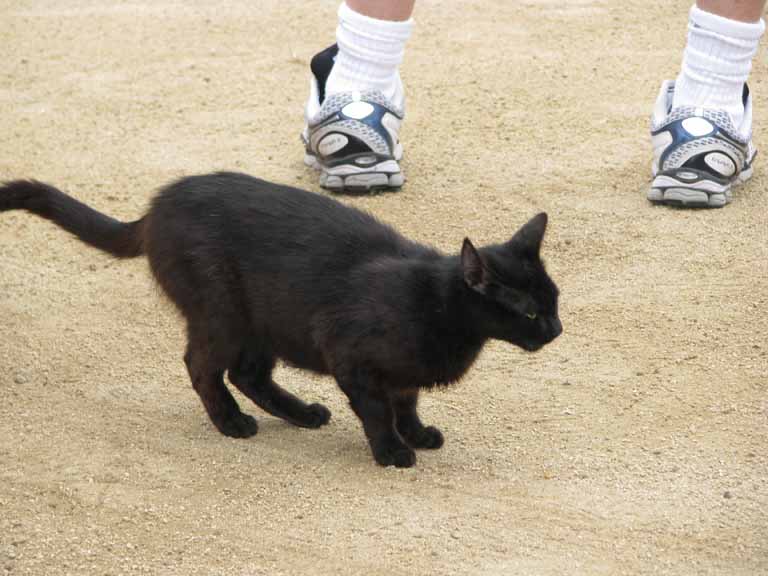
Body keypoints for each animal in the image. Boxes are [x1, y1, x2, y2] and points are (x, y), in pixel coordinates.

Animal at [1, 172, 564, 468]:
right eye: (530, 311)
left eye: (555, 301)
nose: (557, 331)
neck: (435, 302)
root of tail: (159, 205)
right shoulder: (350, 356)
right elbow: (378, 411)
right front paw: (391, 451)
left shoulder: (402, 374)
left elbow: (406, 402)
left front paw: (418, 434)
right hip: (224, 314)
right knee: (203, 367)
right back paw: (232, 423)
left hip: (267, 322)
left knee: (248, 373)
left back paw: (301, 414)